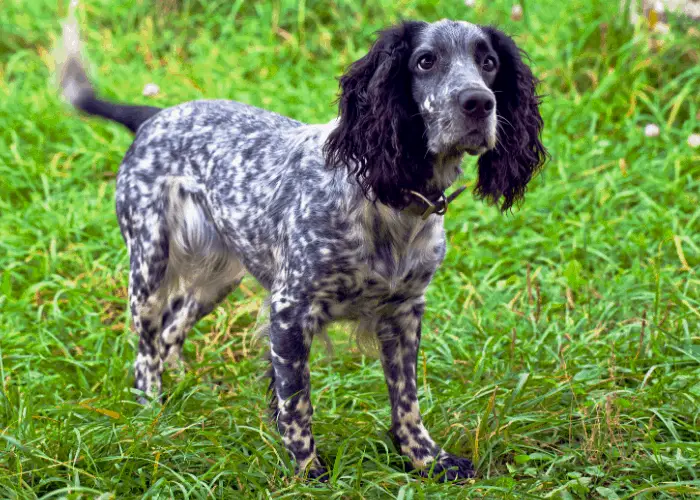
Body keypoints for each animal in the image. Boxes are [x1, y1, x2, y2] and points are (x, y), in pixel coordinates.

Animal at [60, 14, 548, 480]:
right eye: (425, 61)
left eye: (489, 62)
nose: (479, 103)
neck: (389, 200)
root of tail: (156, 115)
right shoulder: (291, 310)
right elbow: (296, 404)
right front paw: (307, 470)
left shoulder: (405, 312)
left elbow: (406, 400)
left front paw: (428, 460)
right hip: (149, 266)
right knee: (146, 353)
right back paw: (152, 414)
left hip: (218, 279)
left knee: (170, 329)